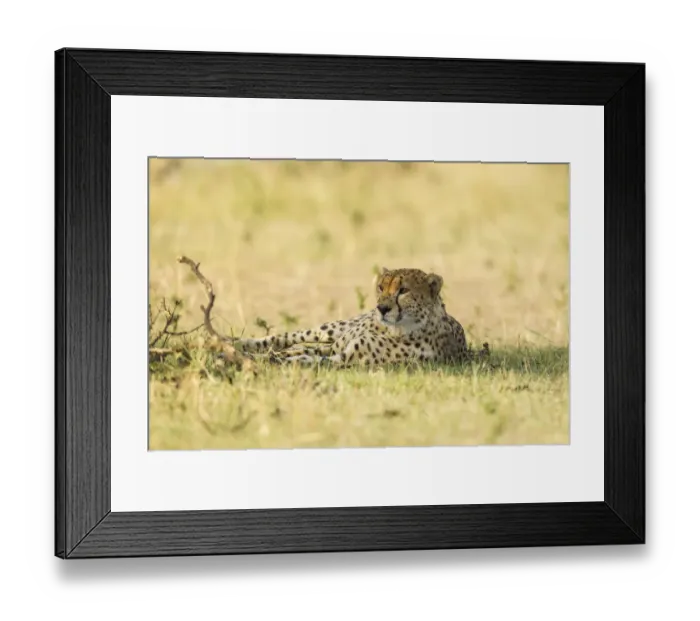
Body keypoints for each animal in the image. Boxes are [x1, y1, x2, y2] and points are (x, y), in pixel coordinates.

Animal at [232, 267, 488, 367]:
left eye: (403, 290)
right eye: (381, 287)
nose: (381, 308)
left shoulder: (344, 358)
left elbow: (301, 358)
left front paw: (263, 361)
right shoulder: (339, 348)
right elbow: (290, 350)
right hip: (331, 329)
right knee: (284, 339)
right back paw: (234, 342)